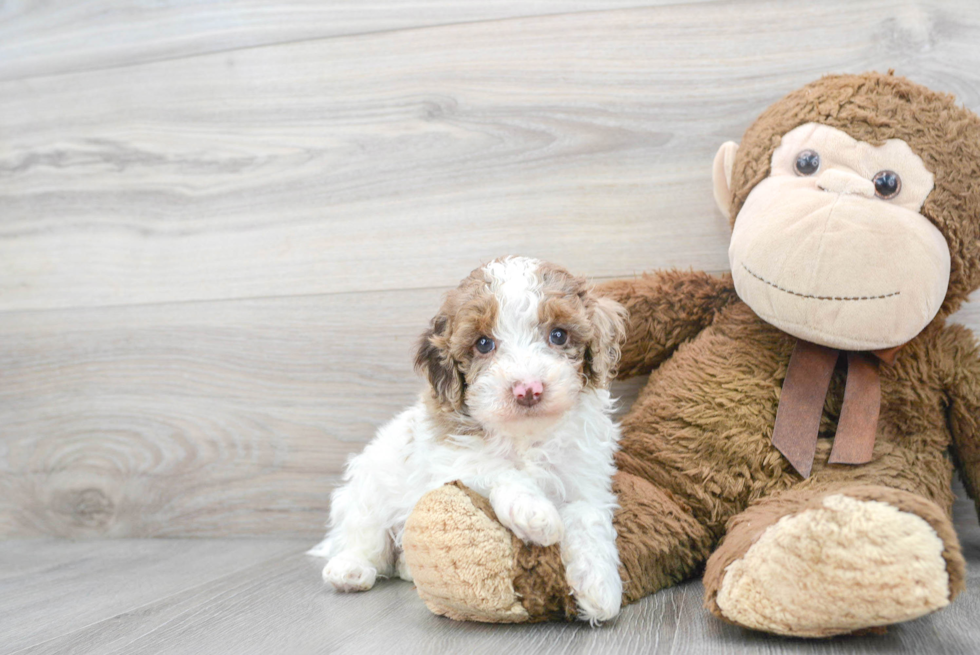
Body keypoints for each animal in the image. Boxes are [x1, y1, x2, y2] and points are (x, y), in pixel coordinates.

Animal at [312, 256, 628, 624]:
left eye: (559, 335)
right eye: (483, 344)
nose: (528, 389)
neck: (526, 435)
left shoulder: (586, 479)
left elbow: (589, 519)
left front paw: (600, 588)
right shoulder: (451, 458)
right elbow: (497, 470)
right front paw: (535, 514)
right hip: (368, 489)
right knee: (364, 537)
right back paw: (349, 569)